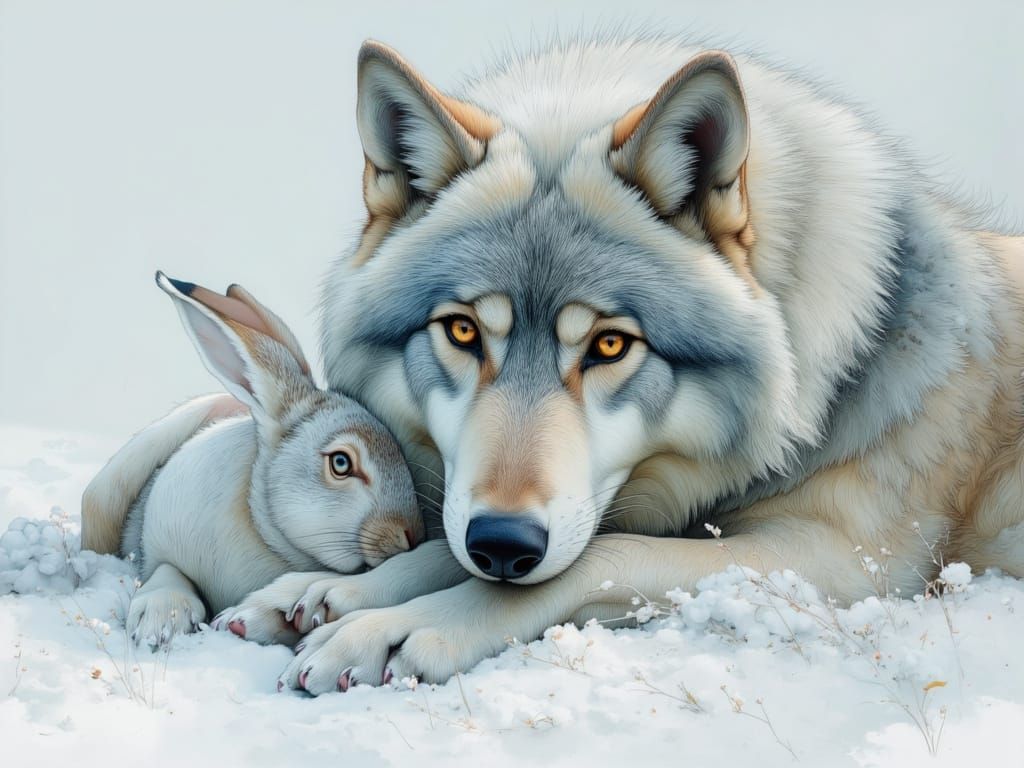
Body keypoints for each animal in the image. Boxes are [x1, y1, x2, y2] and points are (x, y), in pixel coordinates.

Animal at [81, 271, 425, 647]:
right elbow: (166, 569)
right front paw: (159, 622)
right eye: (341, 463)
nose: (413, 535)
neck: (264, 531)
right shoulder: (158, 538)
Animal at [220, 33, 1024, 694]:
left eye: (609, 345)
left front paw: (397, 627)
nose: (503, 544)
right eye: (463, 332)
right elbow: (466, 540)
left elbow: (603, 556)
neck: (845, 364)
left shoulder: (844, 560)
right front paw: (325, 593)